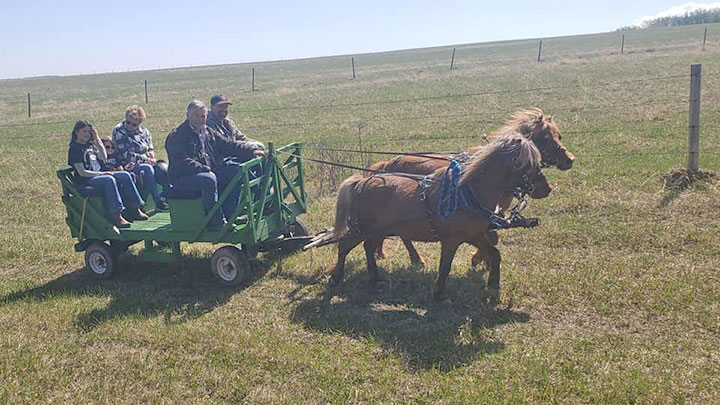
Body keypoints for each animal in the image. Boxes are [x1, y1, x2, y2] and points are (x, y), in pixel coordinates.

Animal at [326, 133, 540, 304]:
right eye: (529, 163)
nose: (542, 187)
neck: (467, 193)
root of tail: (362, 182)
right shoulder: (451, 240)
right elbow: (445, 266)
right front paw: (440, 294)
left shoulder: (474, 235)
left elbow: (494, 253)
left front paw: (493, 285)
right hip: (361, 229)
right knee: (344, 247)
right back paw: (336, 277)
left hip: (379, 230)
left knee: (368, 248)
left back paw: (375, 278)